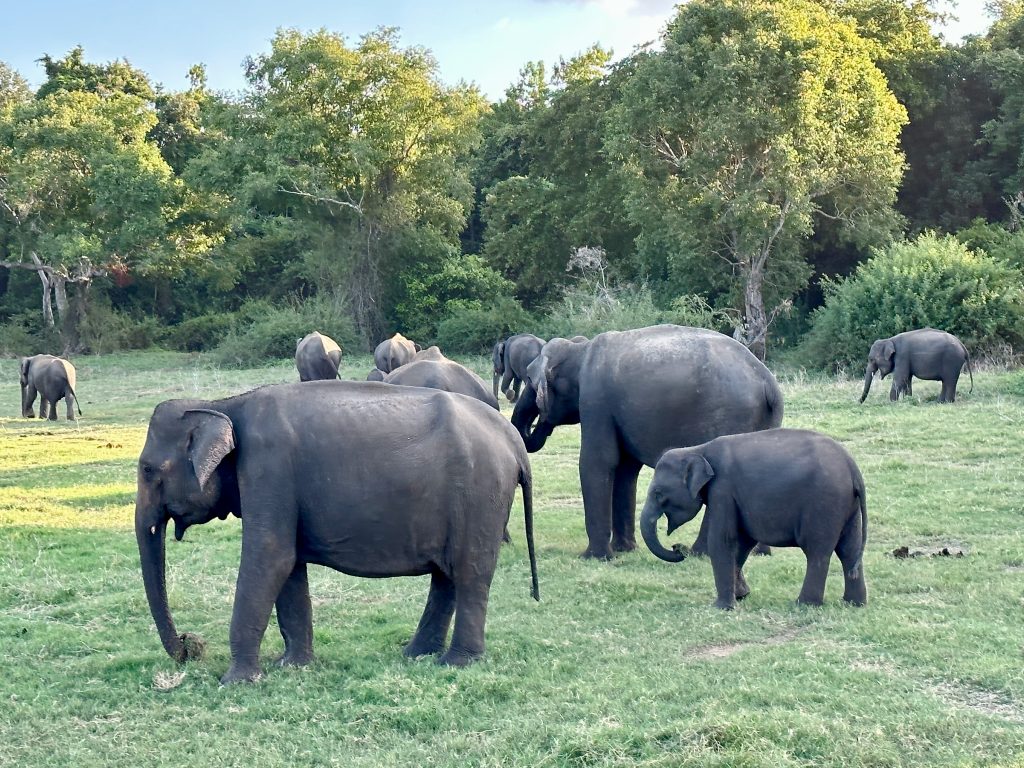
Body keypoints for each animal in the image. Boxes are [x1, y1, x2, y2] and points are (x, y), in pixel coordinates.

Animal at [135, 381, 538, 684]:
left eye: (148, 470)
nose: (190, 646)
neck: (222, 405)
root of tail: (512, 439)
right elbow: (288, 567)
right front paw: (292, 666)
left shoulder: (269, 469)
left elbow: (270, 556)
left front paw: (235, 681)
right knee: (447, 576)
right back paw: (415, 654)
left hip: (479, 494)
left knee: (469, 573)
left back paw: (456, 662)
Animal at [511, 325, 783, 560]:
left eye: (529, 379)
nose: (539, 421)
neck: (579, 349)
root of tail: (769, 383)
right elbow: (626, 468)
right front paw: (624, 550)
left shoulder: (595, 400)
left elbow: (598, 461)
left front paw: (595, 557)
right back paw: (759, 553)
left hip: (728, 417)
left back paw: (698, 553)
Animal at [640, 429, 867, 610]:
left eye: (659, 494)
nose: (677, 547)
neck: (698, 450)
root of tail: (853, 468)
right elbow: (743, 541)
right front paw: (742, 596)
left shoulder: (722, 489)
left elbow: (722, 540)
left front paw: (722, 607)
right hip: (849, 507)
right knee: (849, 550)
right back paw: (854, 603)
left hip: (824, 504)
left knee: (817, 552)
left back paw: (804, 604)